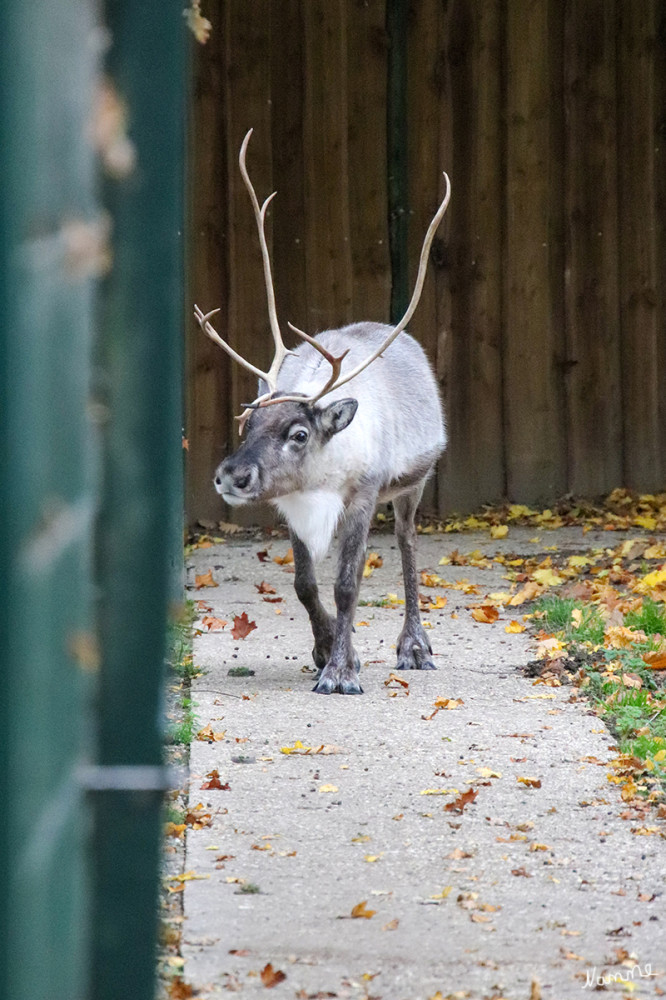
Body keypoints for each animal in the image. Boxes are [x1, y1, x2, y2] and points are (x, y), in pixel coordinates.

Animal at [194, 129, 450, 695]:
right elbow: (305, 583)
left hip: (413, 484)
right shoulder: (291, 508)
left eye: (299, 433)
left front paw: (340, 673)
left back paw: (414, 647)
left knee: (407, 543)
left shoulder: (363, 495)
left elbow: (348, 584)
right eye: (248, 420)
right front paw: (330, 647)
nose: (231, 476)